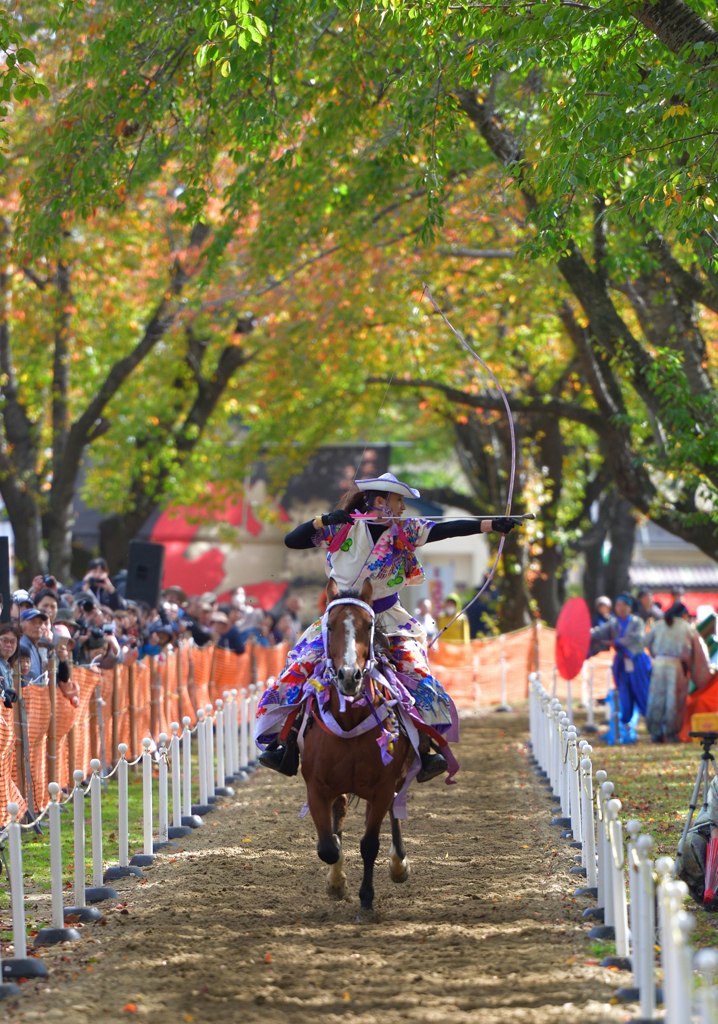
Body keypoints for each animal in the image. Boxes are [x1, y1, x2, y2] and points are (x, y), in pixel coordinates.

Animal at [301, 577, 411, 921]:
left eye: (368, 625)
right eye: (330, 625)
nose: (349, 676)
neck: (349, 717)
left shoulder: (381, 785)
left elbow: (369, 844)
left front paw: (366, 896)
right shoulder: (317, 786)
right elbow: (328, 846)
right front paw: (336, 883)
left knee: (394, 809)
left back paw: (399, 864)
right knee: (340, 814)